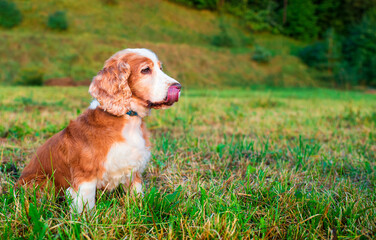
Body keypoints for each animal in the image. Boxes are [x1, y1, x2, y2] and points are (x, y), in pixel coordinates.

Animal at [16, 48, 181, 212]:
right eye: (145, 69)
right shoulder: (85, 176)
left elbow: (137, 194)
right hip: (44, 182)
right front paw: (86, 217)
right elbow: (86, 206)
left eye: (161, 68)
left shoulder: (133, 169)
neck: (127, 120)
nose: (178, 87)